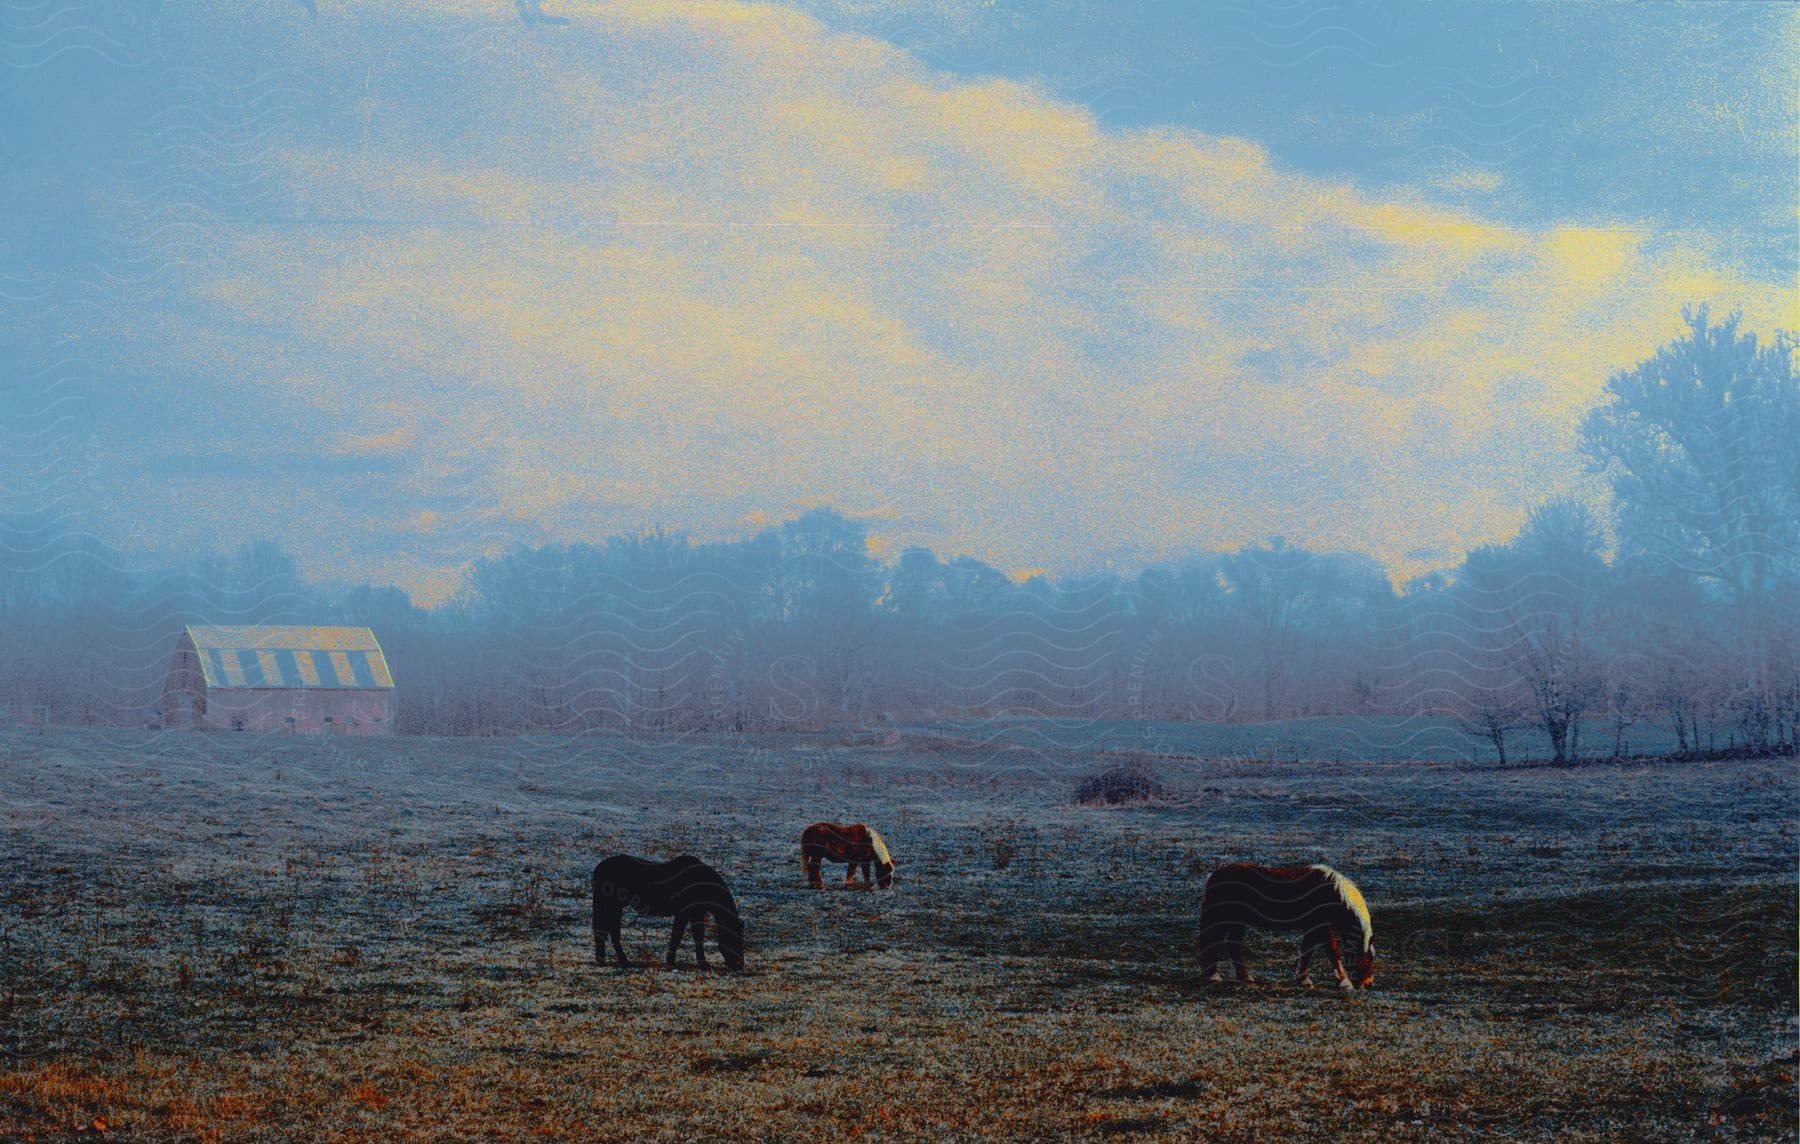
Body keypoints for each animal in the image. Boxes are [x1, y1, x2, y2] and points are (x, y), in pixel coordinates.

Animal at [590, 852, 745, 971]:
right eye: (736, 938)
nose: (739, 965)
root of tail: (600, 867)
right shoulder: (687, 913)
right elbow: (681, 937)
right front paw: (697, 963)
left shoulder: (695, 914)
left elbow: (688, 937)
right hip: (614, 906)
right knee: (612, 932)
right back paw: (623, 961)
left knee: (602, 931)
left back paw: (603, 960)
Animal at [1195, 863, 1375, 985]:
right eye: (1364, 956)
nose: (1368, 983)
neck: (1332, 892)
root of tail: (1214, 876)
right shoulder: (1320, 927)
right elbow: (1331, 951)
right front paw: (1343, 981)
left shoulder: (1315, 928)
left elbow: (1308, 950)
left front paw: (1303, 978)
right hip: (1224, 920)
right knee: (1215, 943)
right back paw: (1213, 975)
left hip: (1237, 922)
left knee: (1233, 946)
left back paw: (1244, 977)